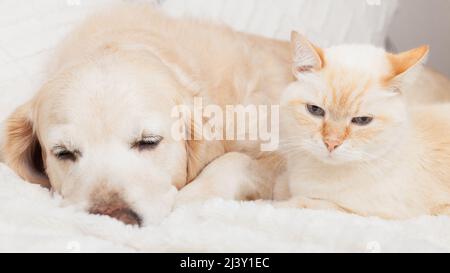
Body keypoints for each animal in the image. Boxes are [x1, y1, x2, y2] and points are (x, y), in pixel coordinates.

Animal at [278, 31, 450, 219]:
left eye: (362, 120)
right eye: (315, 110)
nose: (331, 143)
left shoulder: (376, 214)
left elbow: (309, 203)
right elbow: (280, 186)